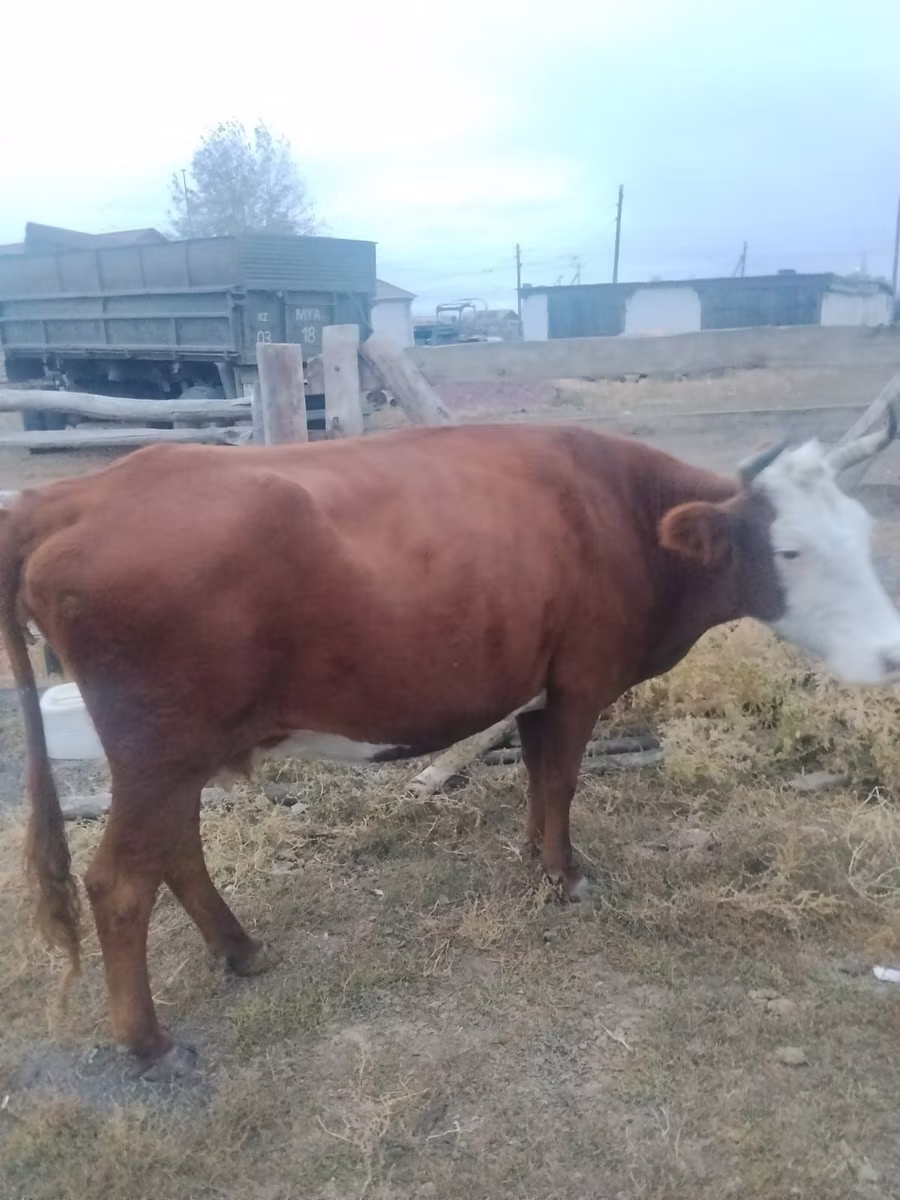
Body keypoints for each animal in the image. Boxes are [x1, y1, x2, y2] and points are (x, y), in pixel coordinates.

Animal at [1, 414, 899, 1079]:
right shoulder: (582, 679)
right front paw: (568, 876)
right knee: (121, 882)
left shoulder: (539, 687)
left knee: (176, 851)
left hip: (180, 753)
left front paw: (537, 860)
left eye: (863, 534)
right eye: (790, 549)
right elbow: (563, 781)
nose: (891, 652)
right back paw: (150, 1043)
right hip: (157, 750)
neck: (623, 516)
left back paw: (242, 950)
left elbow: (538, 780)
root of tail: (74, 494)